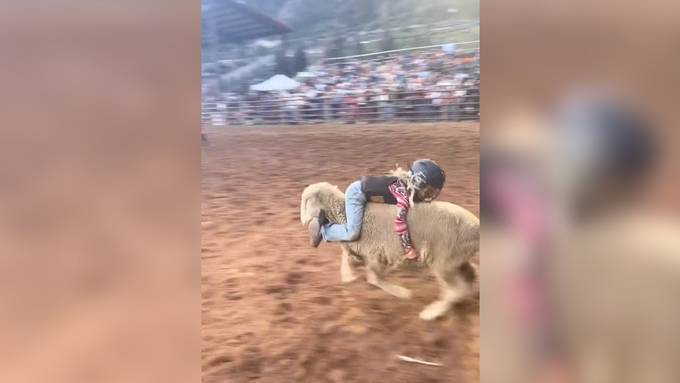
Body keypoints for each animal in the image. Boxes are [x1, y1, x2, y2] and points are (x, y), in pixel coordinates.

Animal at [300, 183, 480, 320]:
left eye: (305, 201)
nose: (303, 221)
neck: (344, 216)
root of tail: (475, 227)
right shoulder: (360, 251)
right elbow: (350, 262)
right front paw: (348, 278)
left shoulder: (375, 254)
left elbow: (374, 279)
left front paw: (402, 293)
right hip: (456, 257)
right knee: (469, 276)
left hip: (443, 259)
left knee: (456, 288)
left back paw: (432, 312)